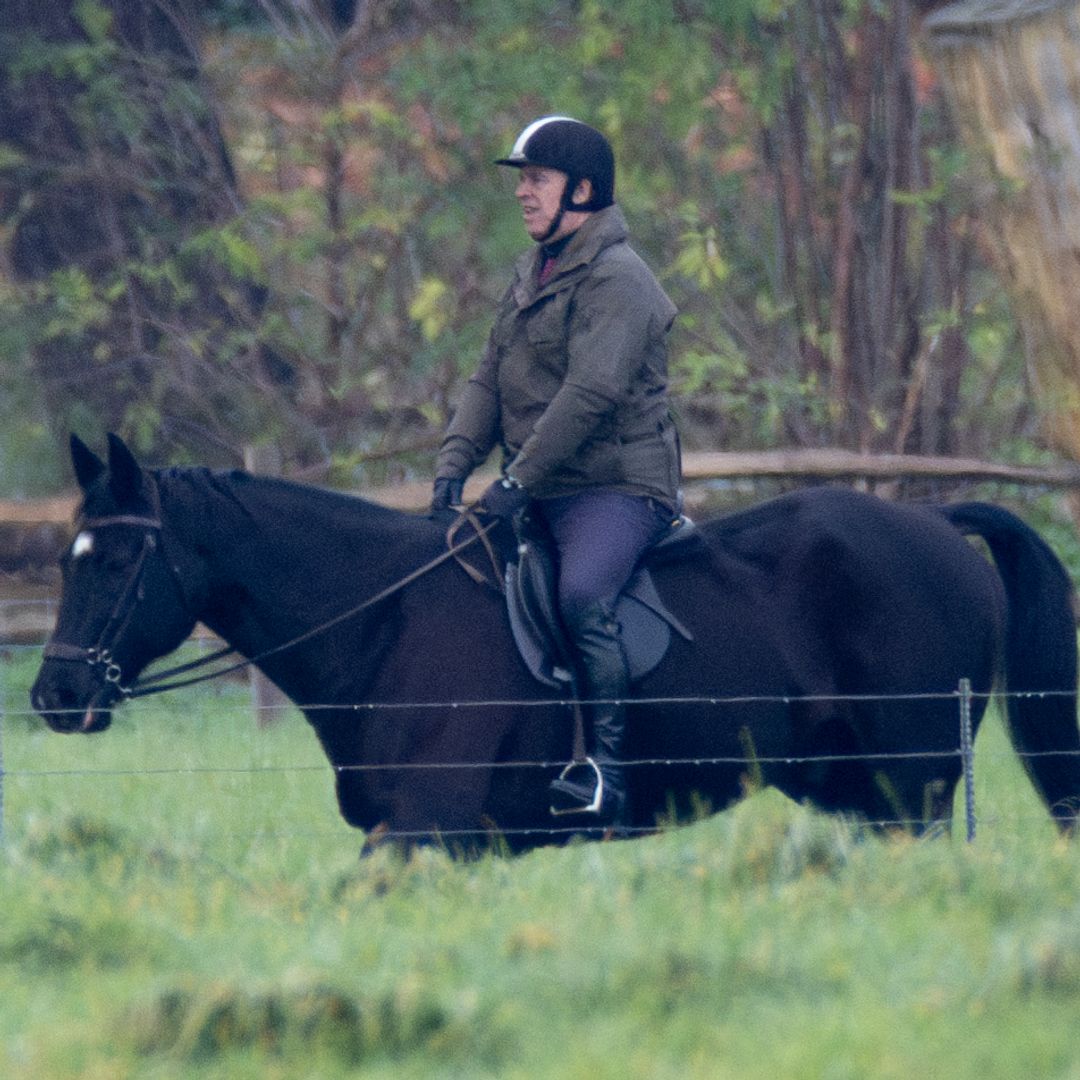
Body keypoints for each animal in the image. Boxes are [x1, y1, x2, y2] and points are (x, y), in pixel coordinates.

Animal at [29, 436, 1080, 851]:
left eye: (117, 561)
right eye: (69, 555)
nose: (52, 699)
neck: (378, 621)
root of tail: (937, 521)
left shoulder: (426, 830)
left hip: (915, 785)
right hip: (857, 792)